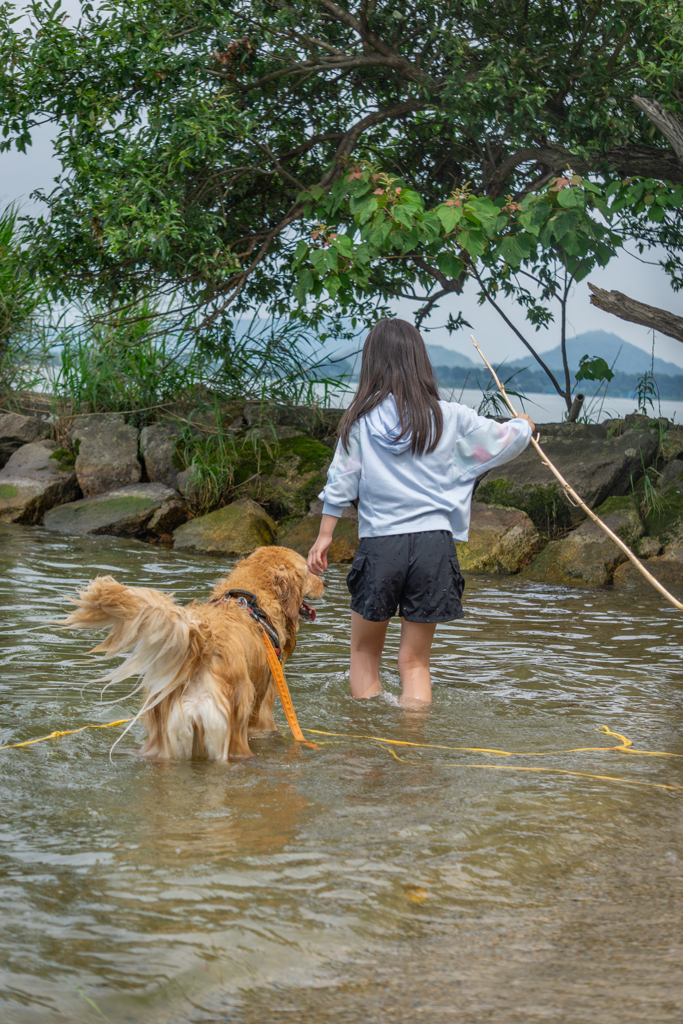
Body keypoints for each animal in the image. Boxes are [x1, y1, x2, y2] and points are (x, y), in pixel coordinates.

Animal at [60, 544, 323, 761]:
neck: (253, 600)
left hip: (167, 744)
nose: (325, 582)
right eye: (307, 571)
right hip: (230, 742)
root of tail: (203, 646)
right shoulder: (264, 709)